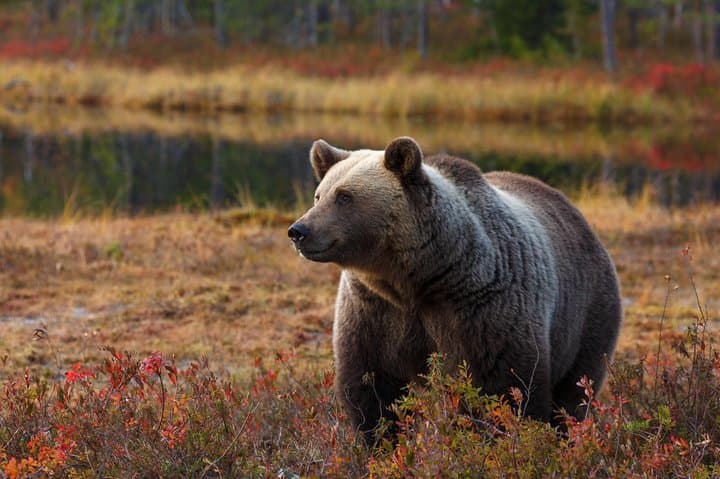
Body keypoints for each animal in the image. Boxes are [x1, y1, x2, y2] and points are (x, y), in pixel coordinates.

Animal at [288, 136, 622, 441]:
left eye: (344, 196)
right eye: (319, 195)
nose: (299, 230)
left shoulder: (483, 308)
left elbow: (504, 387)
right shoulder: (374, 311)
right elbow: (371, 386)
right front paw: (380, 441)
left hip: (585, 313)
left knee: (573, 392)